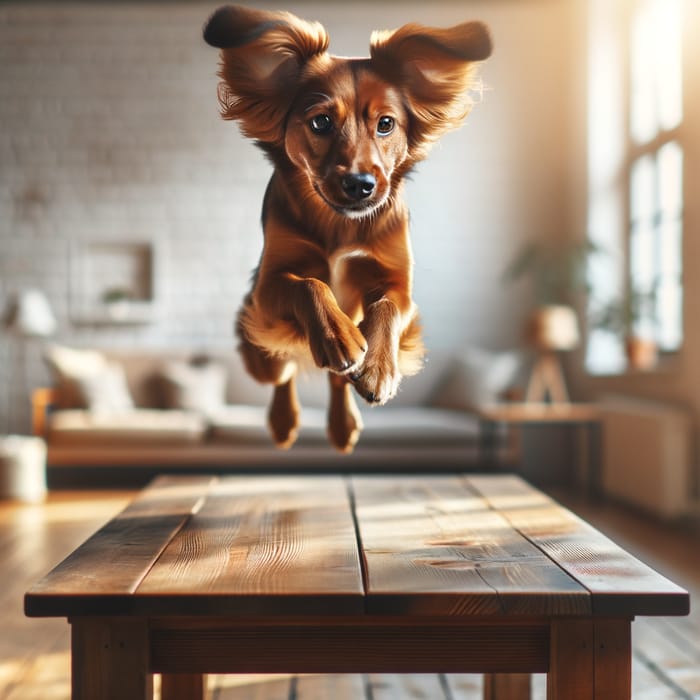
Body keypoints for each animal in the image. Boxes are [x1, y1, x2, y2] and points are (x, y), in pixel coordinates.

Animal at [204, 4, 492, 454]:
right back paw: (285, 420)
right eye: (321, 122)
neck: (340, 224)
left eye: (386, 124)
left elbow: (387, 307)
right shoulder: (268, 287)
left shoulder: (399, 284)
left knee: (337, 378)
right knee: (285, 372)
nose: (361, 185)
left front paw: (377, 367)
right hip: (262, 346)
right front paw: (338, 335)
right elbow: (309, 284)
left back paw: (343, 421)